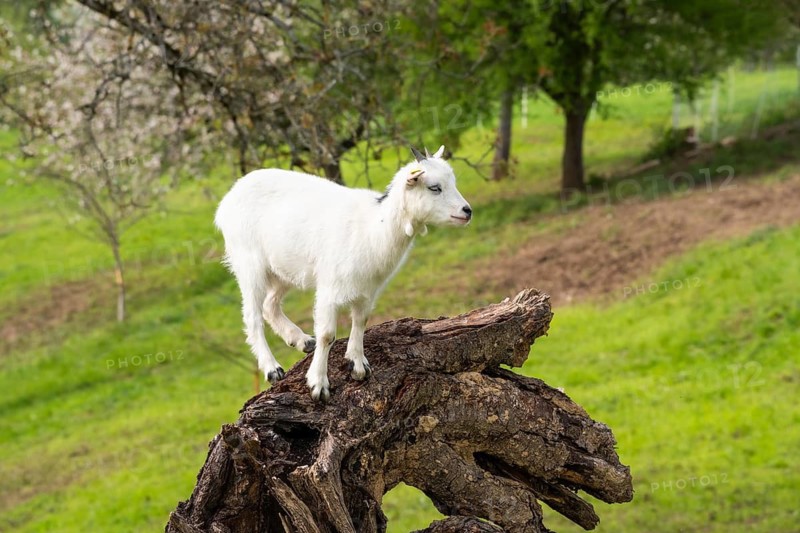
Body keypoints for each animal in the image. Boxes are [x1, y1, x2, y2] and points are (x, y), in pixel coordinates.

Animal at [214, 145, 472, 401]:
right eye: (434, 187)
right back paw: (272, 368)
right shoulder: (330, 288)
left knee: (270, 305)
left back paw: (302, 341)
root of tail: (228, 199)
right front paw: (318, 384)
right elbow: (327, 334)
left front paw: (357, 364)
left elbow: (360, 321)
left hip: (284, 267)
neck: (374, 228)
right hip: (249, 262)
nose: (467, 211)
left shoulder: (368, 290)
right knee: (253, 315)